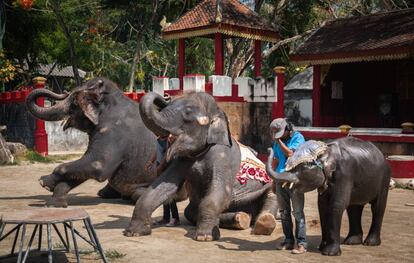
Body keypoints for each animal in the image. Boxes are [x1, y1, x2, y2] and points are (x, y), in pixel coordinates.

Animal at [123, 92, 278, 242]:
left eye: (187, 112)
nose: (166, 96)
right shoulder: (182, 159)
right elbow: (163, 186)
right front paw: (134, 232)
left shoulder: (224, 157)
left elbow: (220, 190)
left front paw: (205, 237)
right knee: (191, 211)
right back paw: (240, 218)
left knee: (271, 195)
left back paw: (263, 223)